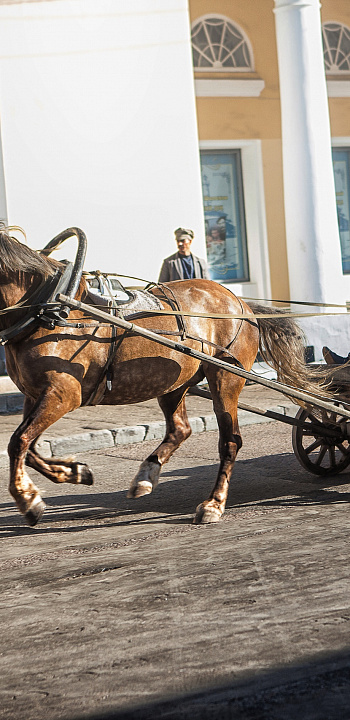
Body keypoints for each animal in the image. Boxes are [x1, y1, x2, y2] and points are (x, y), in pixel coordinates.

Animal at [0, 228, 320, 524]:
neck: (50, 310)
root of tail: (242, 304)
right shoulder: (35, 395)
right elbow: (27, 446)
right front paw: (75, 472)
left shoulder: (63, 393)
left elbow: (18, 441)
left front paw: (28, 500)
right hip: (173, 383)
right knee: (180, 429)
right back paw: (146, 476)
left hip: (225, 378)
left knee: (230, 441)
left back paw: (214, 503)